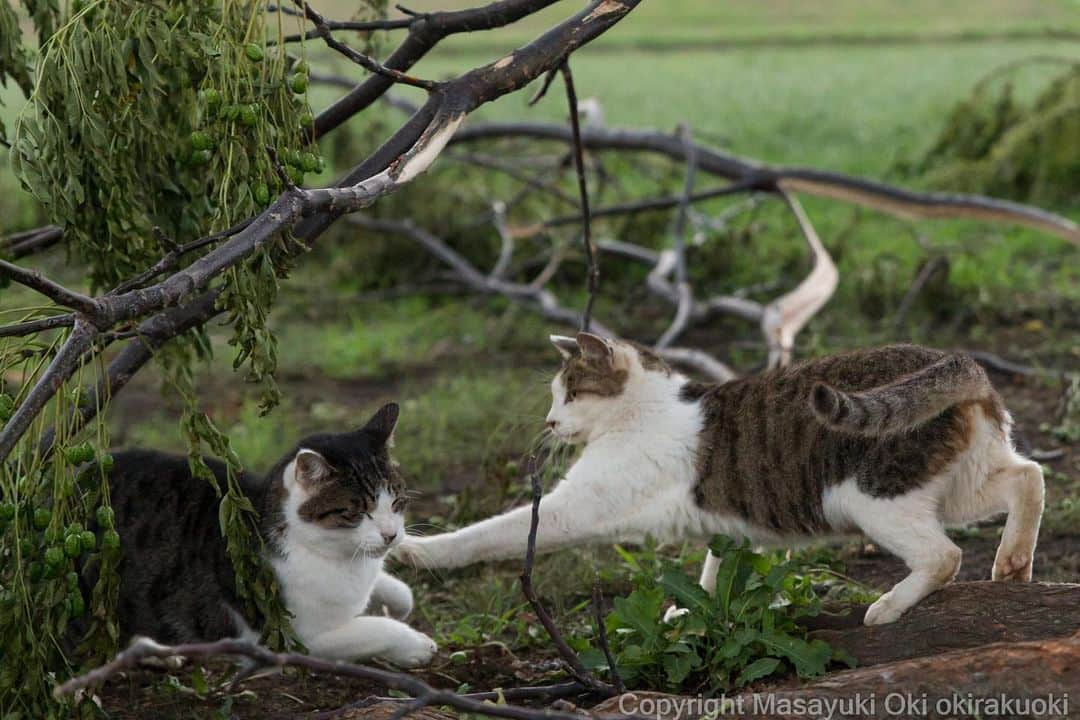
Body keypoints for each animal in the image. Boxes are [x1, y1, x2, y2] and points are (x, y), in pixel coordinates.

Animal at [85, 403, 434, 669]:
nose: (391, 535)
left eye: (397, 502)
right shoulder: (298, 637)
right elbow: (378, 629)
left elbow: (400, 591)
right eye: (358, 511)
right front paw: (417, 644)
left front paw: (397, 602)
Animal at [397, 334, 1045, 626]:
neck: (645, 407)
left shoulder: (575, 507)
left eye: (571, 393)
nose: (551, 422)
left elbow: (488, 533)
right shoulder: (728, 527)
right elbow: (714, 573)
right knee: (1029, 476)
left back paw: (887, 607)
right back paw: (1013, 564)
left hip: (871, 496)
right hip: (959, 482)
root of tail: (955, 361)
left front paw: (414, 549)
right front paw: (696, 612)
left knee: (943, 556)